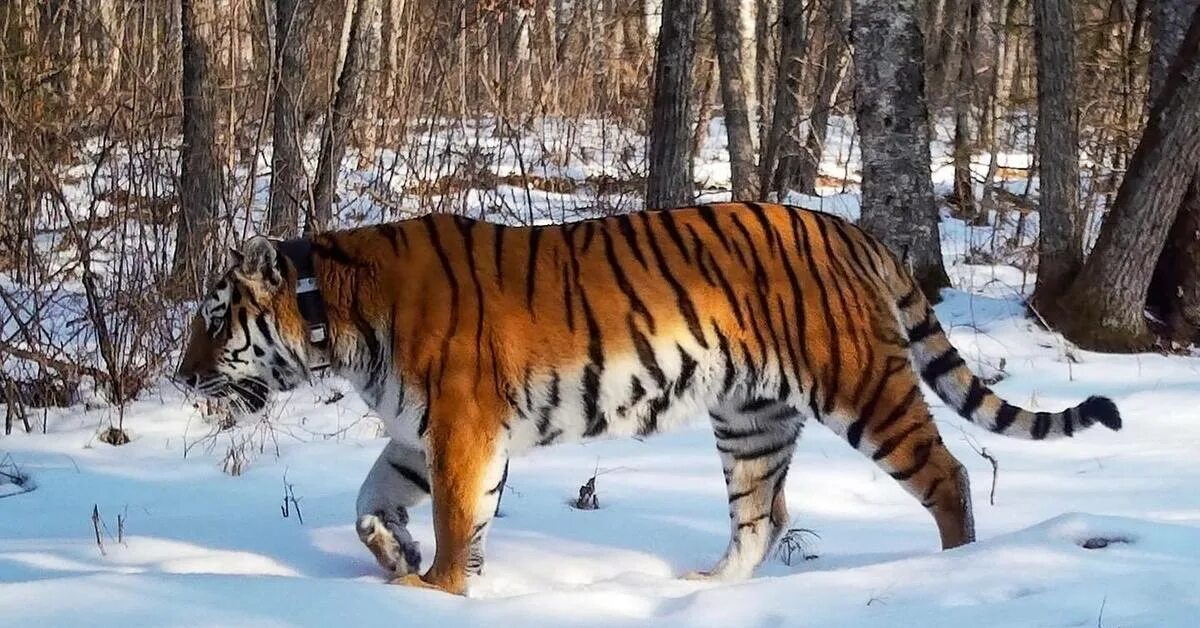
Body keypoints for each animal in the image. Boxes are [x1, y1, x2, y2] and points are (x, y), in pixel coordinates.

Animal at [174, 201, 1118, 595]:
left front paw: (433, 590)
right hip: (750, 420)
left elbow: (453, 517)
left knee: (948, 478)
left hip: (863, 387)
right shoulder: (419, 430)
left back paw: (956, 572)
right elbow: (371, 502)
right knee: (762, 517)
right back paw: (706, 594)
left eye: (215, 321)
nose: (181, 378)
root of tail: (850, 227)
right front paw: (395, 555)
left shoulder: (460, 426)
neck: (329, 311)